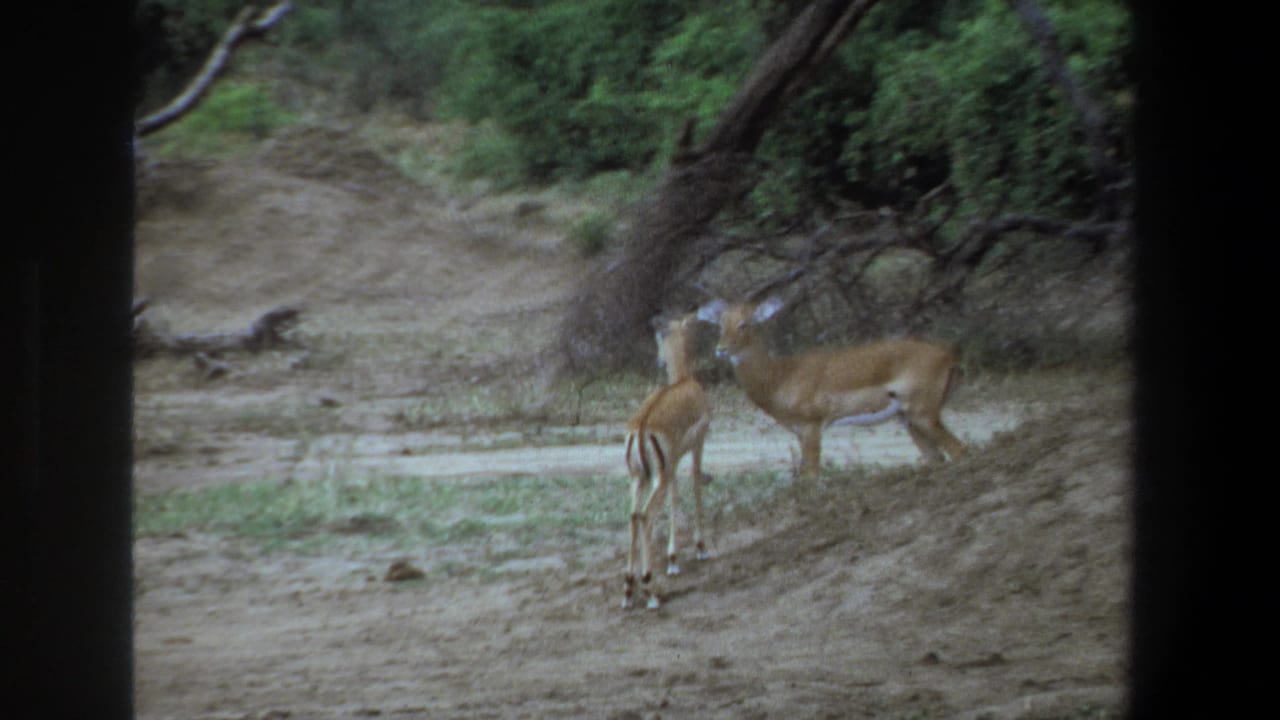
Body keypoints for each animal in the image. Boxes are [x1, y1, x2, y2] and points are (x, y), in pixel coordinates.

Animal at [623, 312, 712, 610]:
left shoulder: (672, 465)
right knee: (646, 515)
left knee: (633, 516)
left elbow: (675, 497)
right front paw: (701, 548)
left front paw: (673, 560)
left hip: (639, 479)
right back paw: (650, 588)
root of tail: (640, 428)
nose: (658, 361)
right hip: (656, 478)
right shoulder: (697, 447)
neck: (684, 381)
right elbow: (695, 485)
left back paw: (629, 589)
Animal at [697, 295, 965, 477]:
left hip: (924, 414)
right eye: (721, 323)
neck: (780, 376)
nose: (721, 349)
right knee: (938, 457)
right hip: (908, 419)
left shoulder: (812, 427)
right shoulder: (799, 432)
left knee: (960, 450)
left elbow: (811, 476)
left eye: (745, 323)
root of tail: (948, 353)